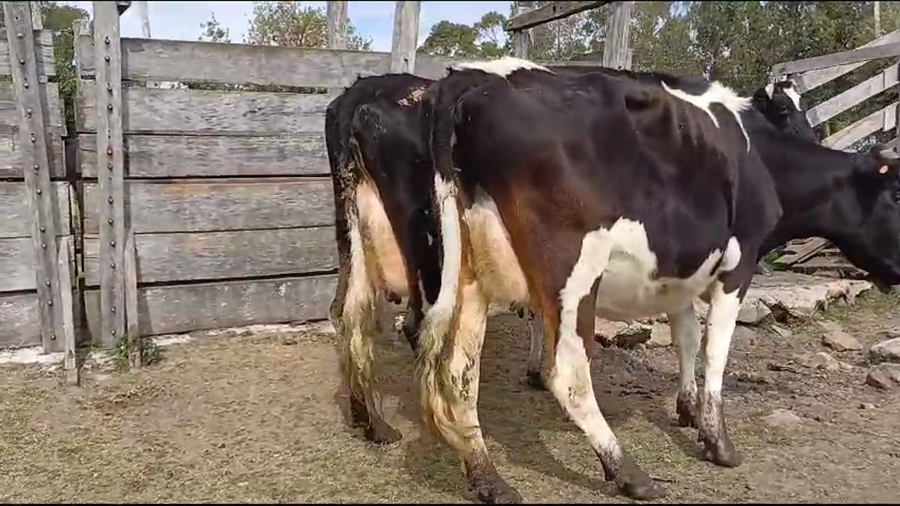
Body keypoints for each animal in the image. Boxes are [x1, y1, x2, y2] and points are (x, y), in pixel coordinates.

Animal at [414, 57, 900, 503]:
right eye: (896, 195)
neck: (760, 159)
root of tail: (475, 77)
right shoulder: (738, 265)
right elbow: (716, 350)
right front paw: (717, 440)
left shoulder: (678, 271)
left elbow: (686, 335)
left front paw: (687, 407)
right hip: (573, 269)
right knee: (567, 373)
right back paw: (627, 471)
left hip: (472, 274)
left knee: (458, 371)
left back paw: (488, 479)